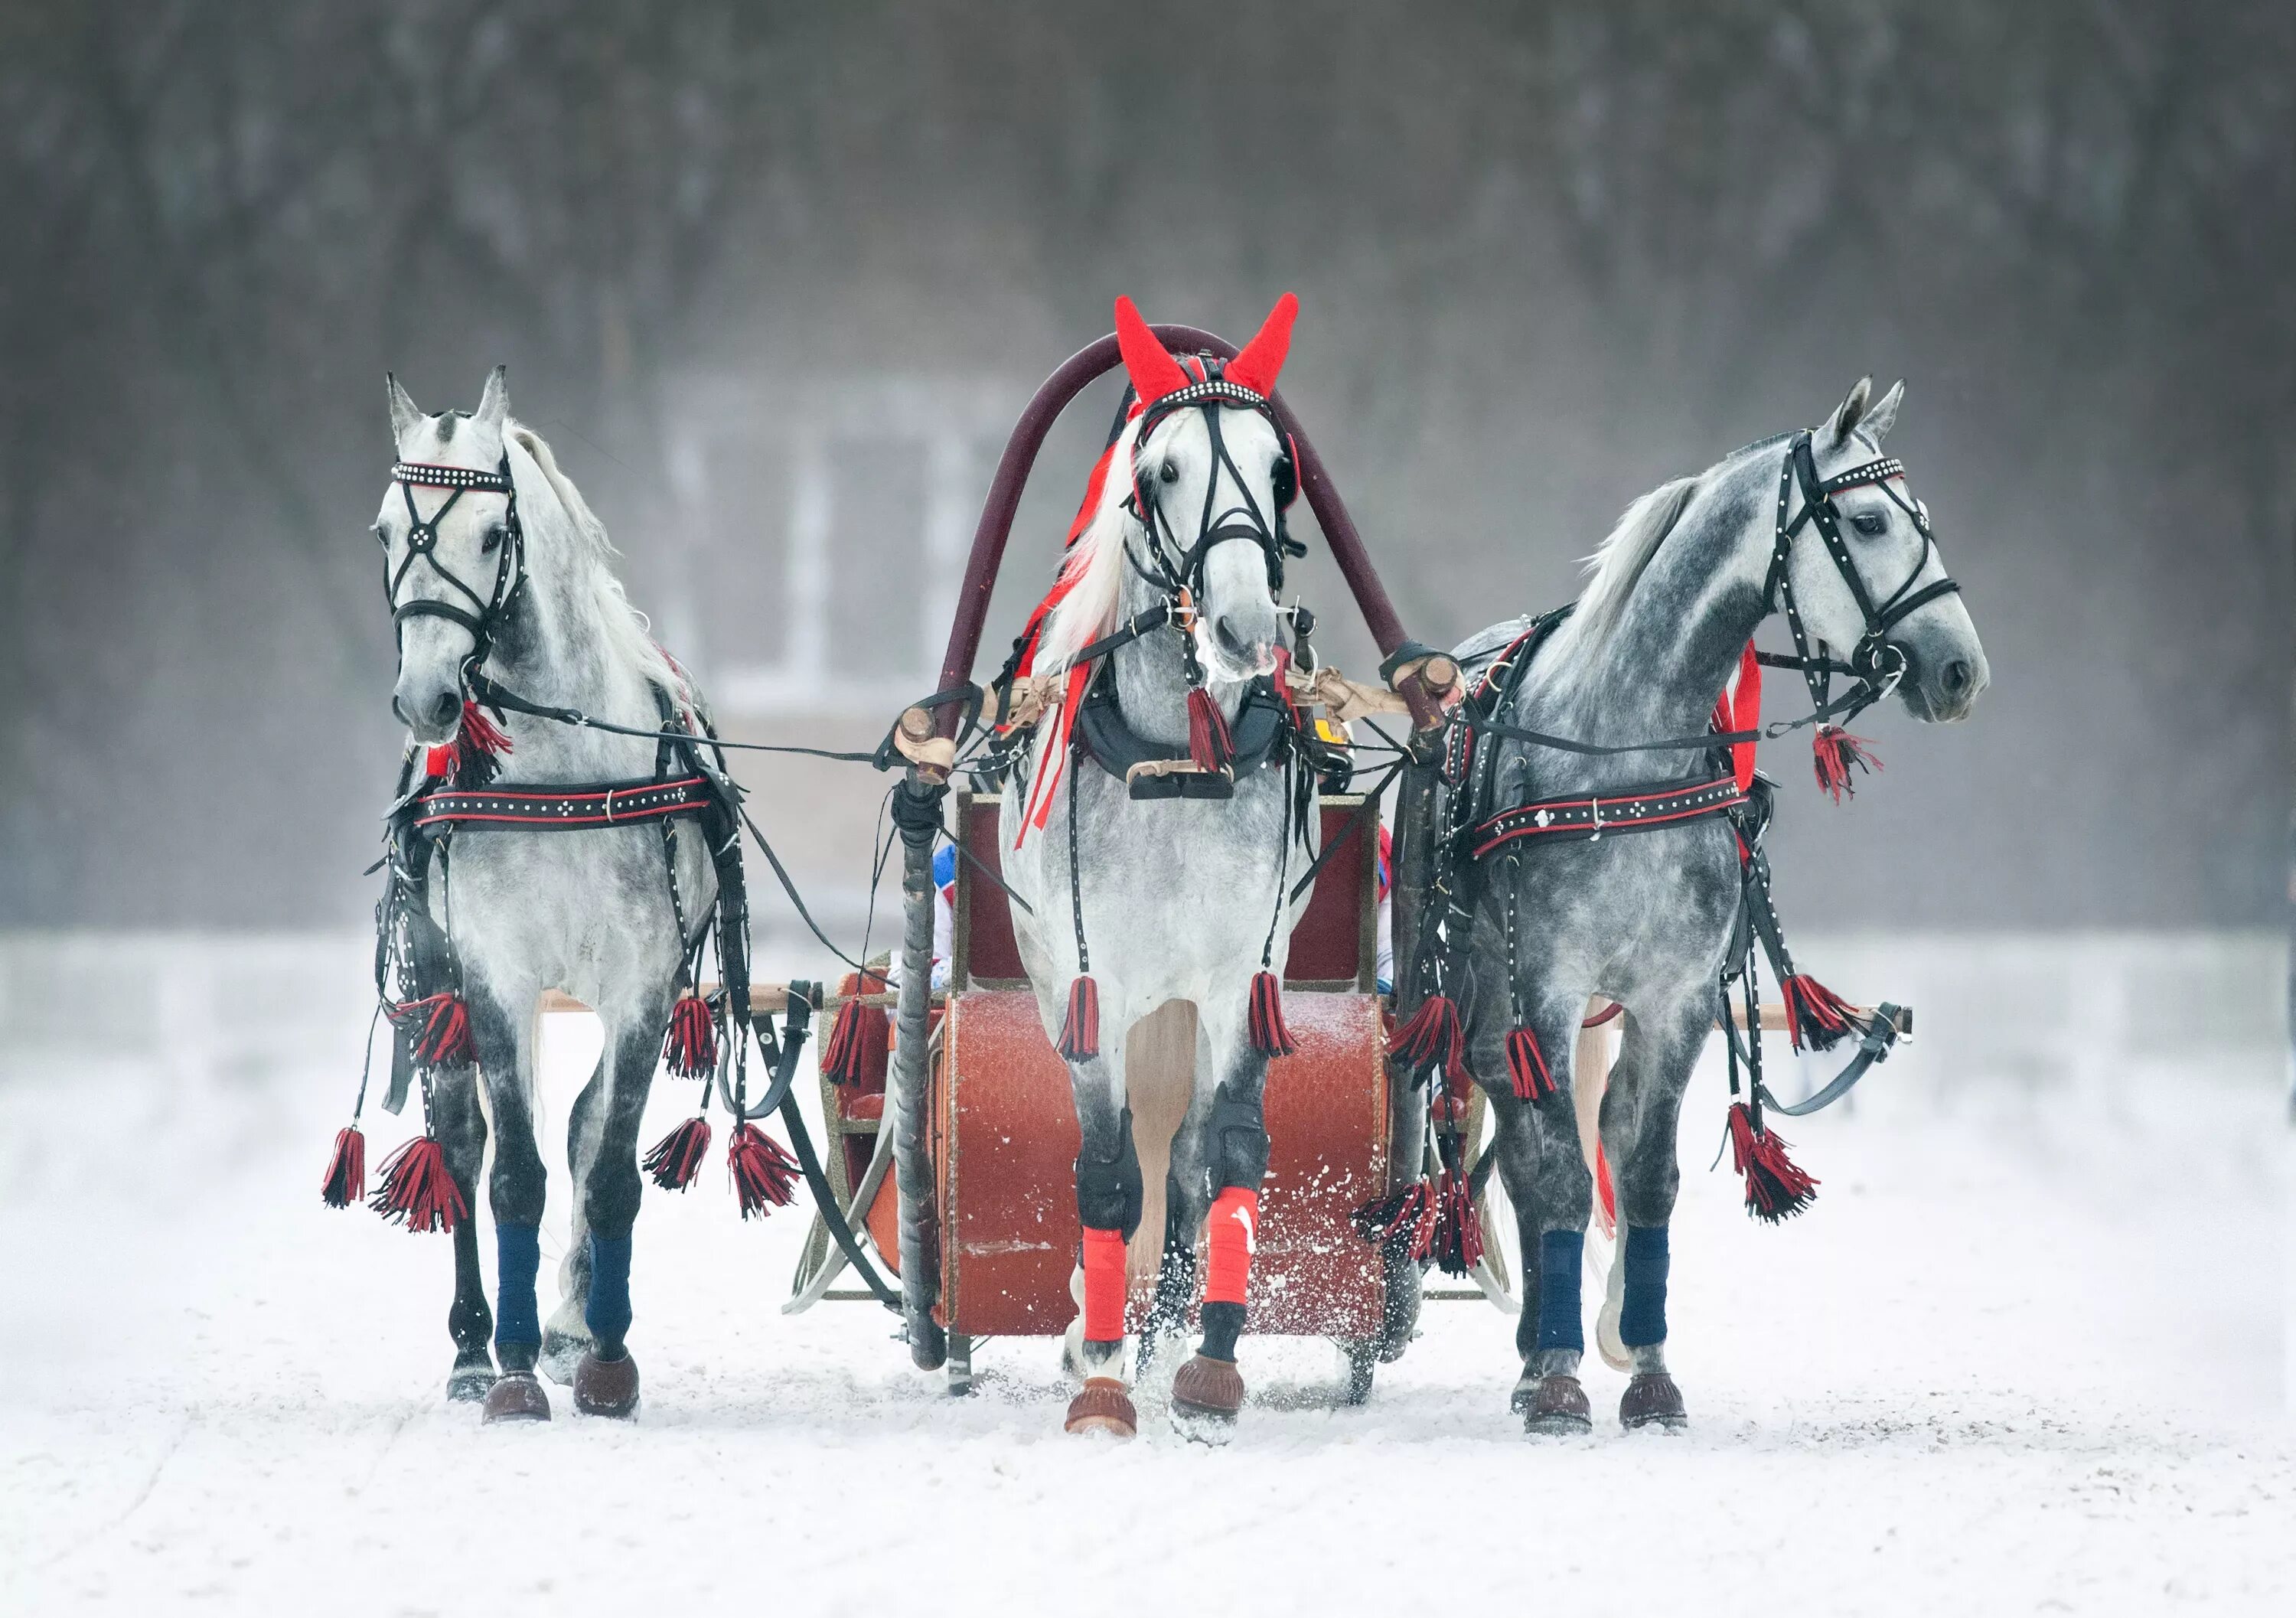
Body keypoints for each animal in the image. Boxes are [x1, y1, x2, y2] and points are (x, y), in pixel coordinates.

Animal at [996, 293, 1322, 1441]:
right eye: (1163, 470)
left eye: (1281, 470)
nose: (1245, 628)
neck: (1177, 763)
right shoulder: (1088, 987)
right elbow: (1105, 1172)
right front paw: (1097, 1367)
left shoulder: (1242, 982)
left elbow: (1223, 1152)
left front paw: (1207, 1358)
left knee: (1179, 1156)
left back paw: (1167, 1331)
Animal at [1405, 376, 1984, 1423]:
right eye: (1870, 520)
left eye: (1919, 515)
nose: (1961, 669)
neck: (1624, 751)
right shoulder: (1544, 991)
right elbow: (1560, 1176)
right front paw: (1562, 1378)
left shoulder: (1673, 999)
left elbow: (1644, 1174)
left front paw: (1646, 1367)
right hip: (1484, 1001)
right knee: (1526, 1157)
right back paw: (1539, 1354)